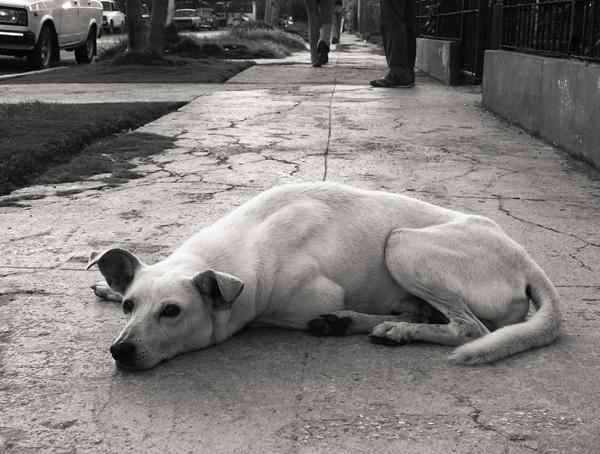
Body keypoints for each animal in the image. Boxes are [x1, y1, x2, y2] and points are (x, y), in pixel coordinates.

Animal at [86, 181, 560, 368]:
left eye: (172, 312)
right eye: (130, 306)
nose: (119, 351)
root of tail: (526, 260)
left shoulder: (301, 300)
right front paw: (105, 288)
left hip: (402, 244)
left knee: (470, 329)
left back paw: (390, 329)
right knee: (425, 314)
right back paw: (366, 323)